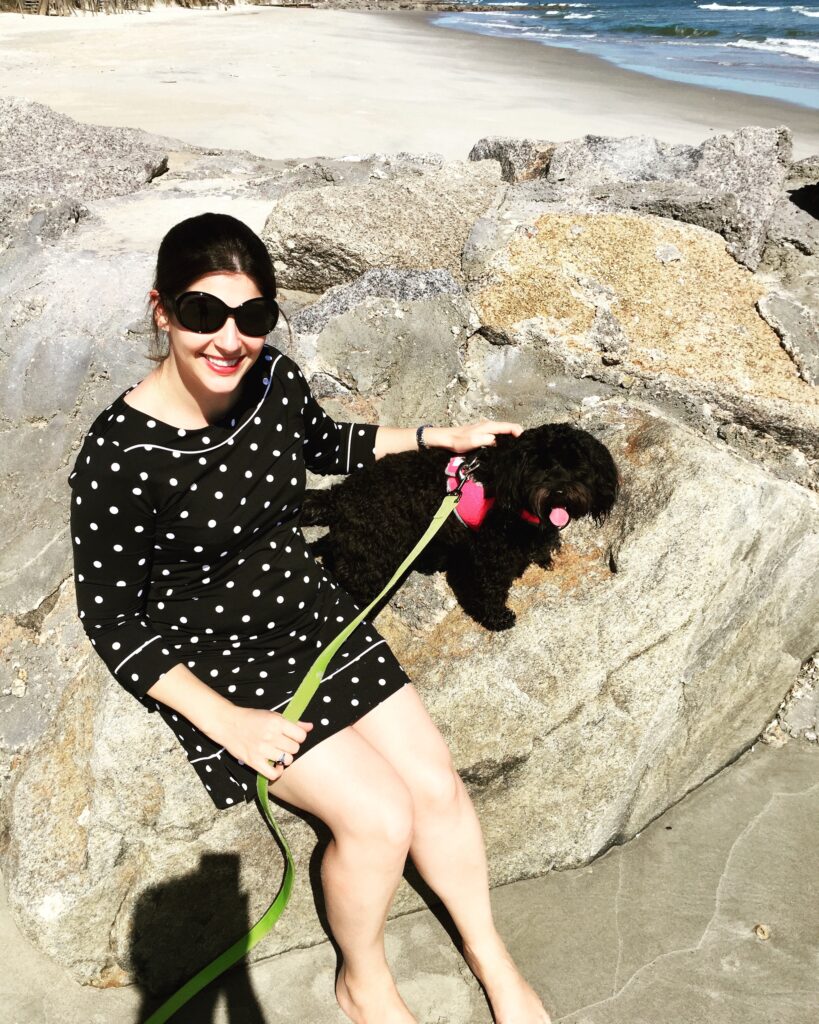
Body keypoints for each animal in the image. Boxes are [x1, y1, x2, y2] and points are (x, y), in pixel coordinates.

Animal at [303, 419, 622, 626]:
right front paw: (497, 618)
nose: (558, 492)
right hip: (372, 559)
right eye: (539, 467)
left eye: (574, 464)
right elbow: (490, 587)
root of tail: (338, 495)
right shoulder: (492, 552)